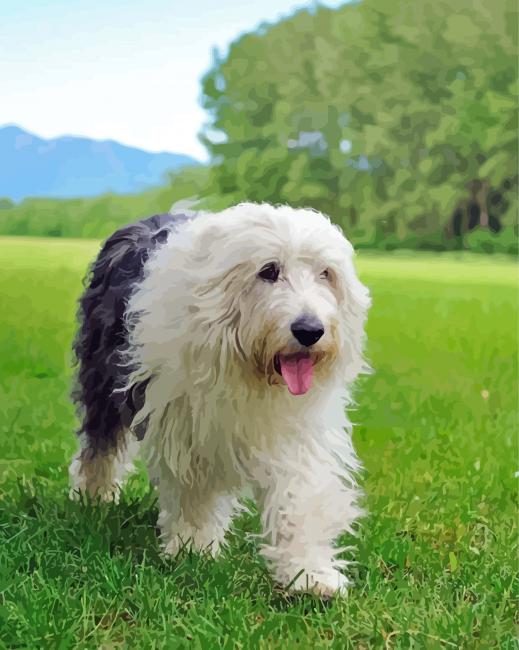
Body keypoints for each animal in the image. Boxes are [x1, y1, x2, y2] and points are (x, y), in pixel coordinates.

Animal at [69, 202, 372, 592]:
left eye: (326, 274)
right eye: (268, 271)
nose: (309, 330)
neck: (249, 371)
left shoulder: (298, 431)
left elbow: (300, 495)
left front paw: (308, 573)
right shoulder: (185, 424)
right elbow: (194, 490)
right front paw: (193, 548)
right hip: (102, 377)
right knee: (100, 444)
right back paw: (95, 497)